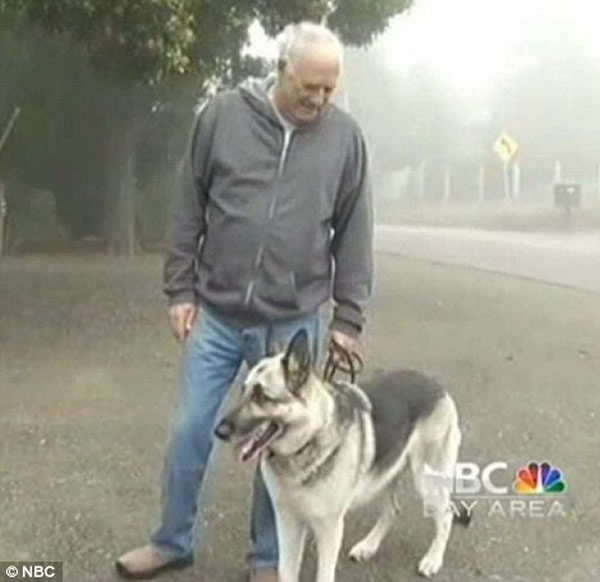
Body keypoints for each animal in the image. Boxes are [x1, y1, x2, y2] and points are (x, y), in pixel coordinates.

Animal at [215, 328, 468, 582]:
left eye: (262, 396)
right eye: (243, 391)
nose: (218, 432)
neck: (308, 440)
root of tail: (437, 386)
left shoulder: (329, 530)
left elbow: (324, 575)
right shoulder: (288, 522)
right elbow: (286, 571)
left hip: (427, 482)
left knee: (446, 516)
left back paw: (433, 559)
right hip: (384, 475)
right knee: (392, 510)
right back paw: (368, 546)